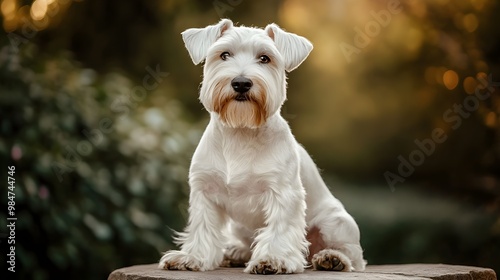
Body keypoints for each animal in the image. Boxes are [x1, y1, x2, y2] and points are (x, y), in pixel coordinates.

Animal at [160, 18, 368, 274]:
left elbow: (280, 228)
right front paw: (192, 257)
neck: (240, 132)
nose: (241, 83)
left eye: (264, 58)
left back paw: (332, 258)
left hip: (335, 223)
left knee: (353, 257)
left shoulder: (283, 193)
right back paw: (234, 252)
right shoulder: (204, 192)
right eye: (224, 54)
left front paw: (273, 259)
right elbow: (203, 228)